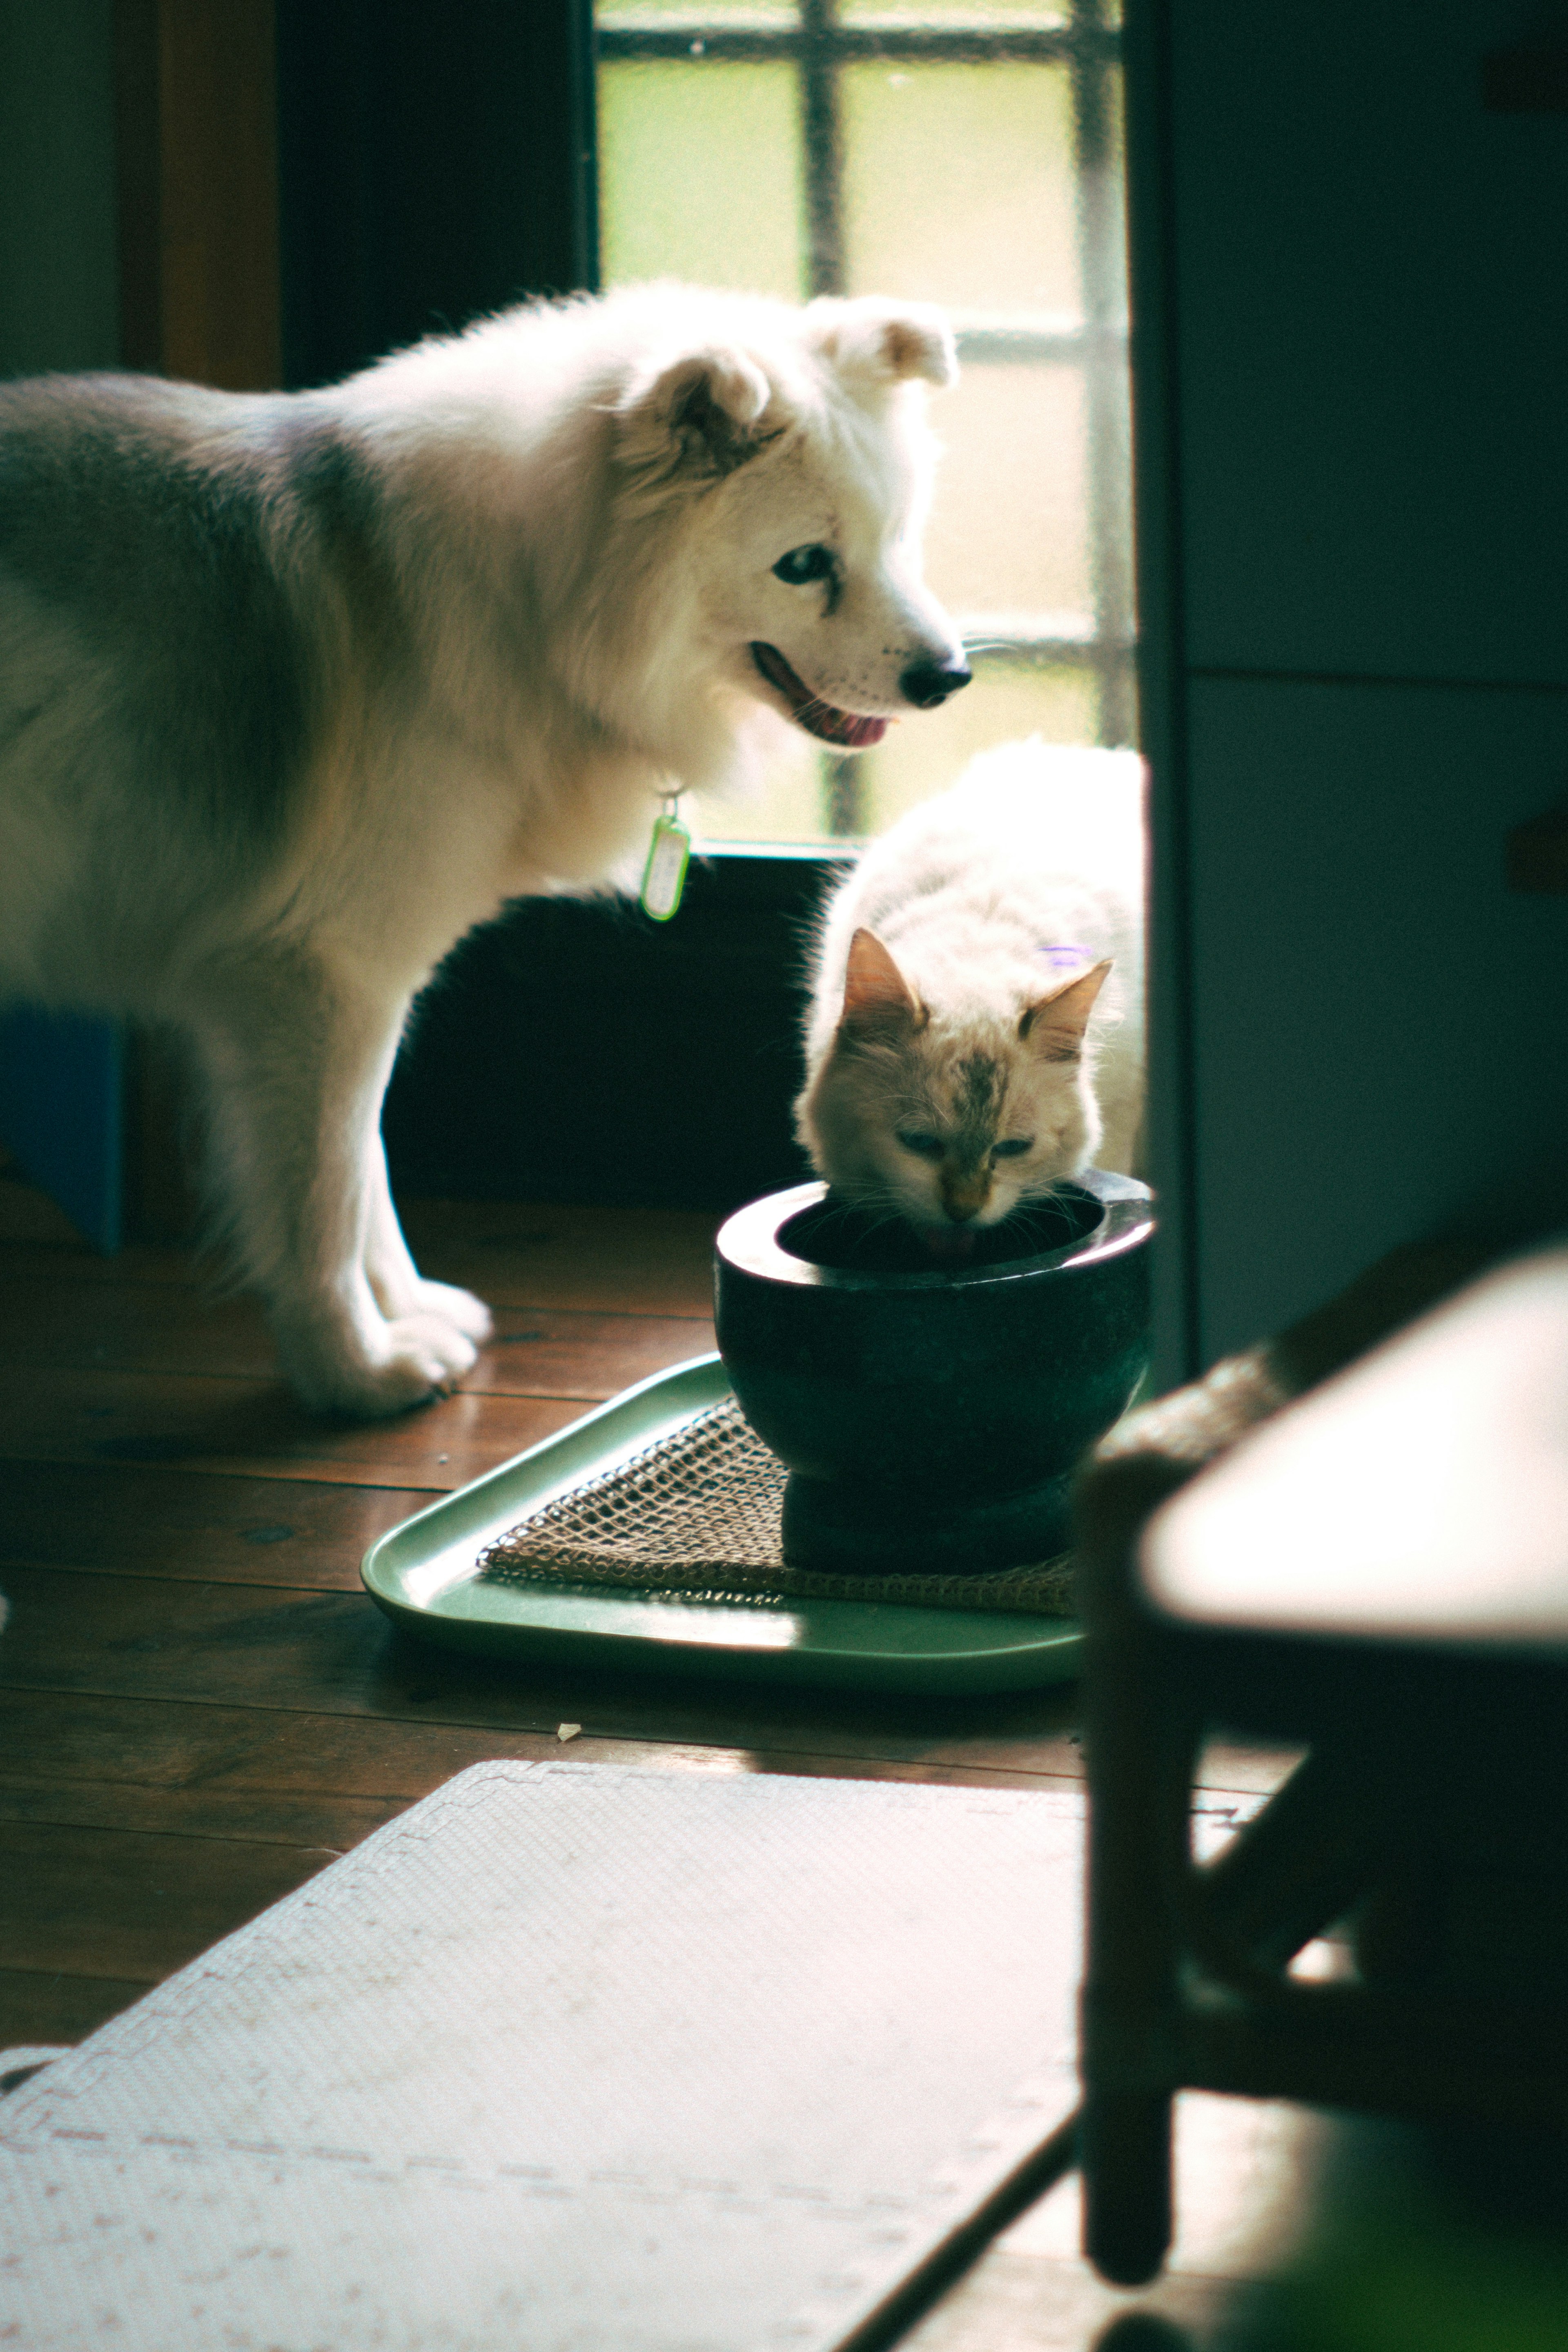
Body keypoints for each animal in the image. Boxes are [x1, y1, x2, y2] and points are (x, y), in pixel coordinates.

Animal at [0, 275, 968, 1411]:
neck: (525, 596)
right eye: (805, 565)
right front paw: (354, 1366)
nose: (949, 678)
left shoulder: (338, 993)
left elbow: (365, 1166)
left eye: (897, 538)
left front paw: (404, 1311)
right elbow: (322, 1190)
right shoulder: (321, 977)